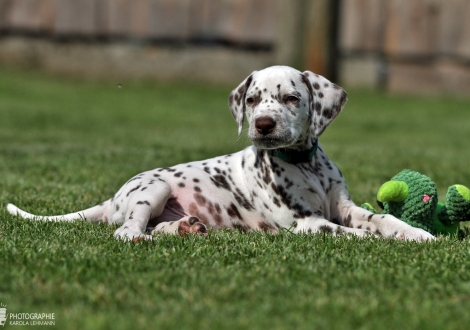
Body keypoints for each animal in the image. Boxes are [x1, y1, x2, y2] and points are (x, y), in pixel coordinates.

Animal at [7, 65, 436, 241]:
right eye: (252, 99)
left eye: (291, 98)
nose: (262, 124)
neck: (304, 164)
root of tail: (112, 199)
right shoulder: (306, 223)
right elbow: (352, 233)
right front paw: (385, 241)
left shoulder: (343, 206)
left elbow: (379, 219)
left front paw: (416, 234)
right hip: (154, 189)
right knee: (127, 230)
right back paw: (144, 237)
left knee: (152, 226)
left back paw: (184, 228)